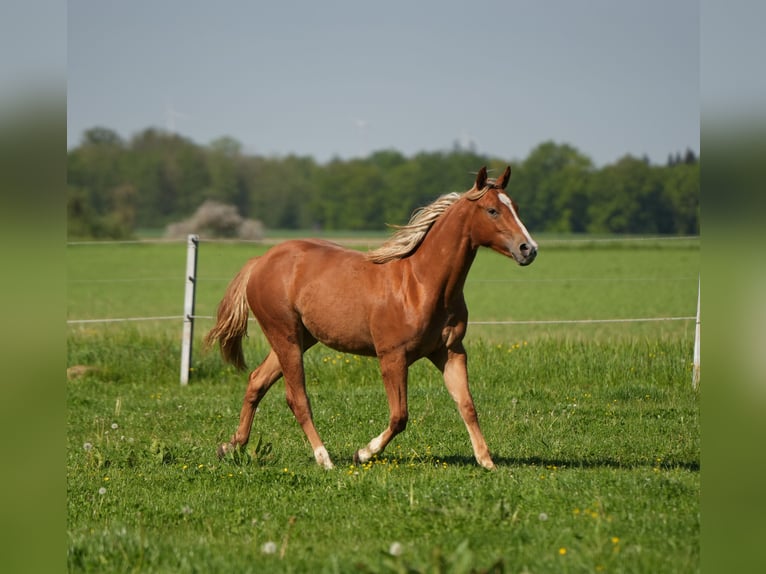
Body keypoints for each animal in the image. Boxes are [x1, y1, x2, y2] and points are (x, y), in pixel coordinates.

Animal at [204, 164, 540, 470]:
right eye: (492, 210)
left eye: (516, 207)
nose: (529, 249)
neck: (422, 284)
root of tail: (261, 260)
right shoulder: (392, 356)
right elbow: (400, 415)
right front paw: (363, 452)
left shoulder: (450, 351)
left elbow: (467, 405)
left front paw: (487, 462)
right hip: (284, 336)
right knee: (297, 398)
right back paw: (324, 459)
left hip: (299, 338)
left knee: (256, 381)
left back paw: (230, 446)